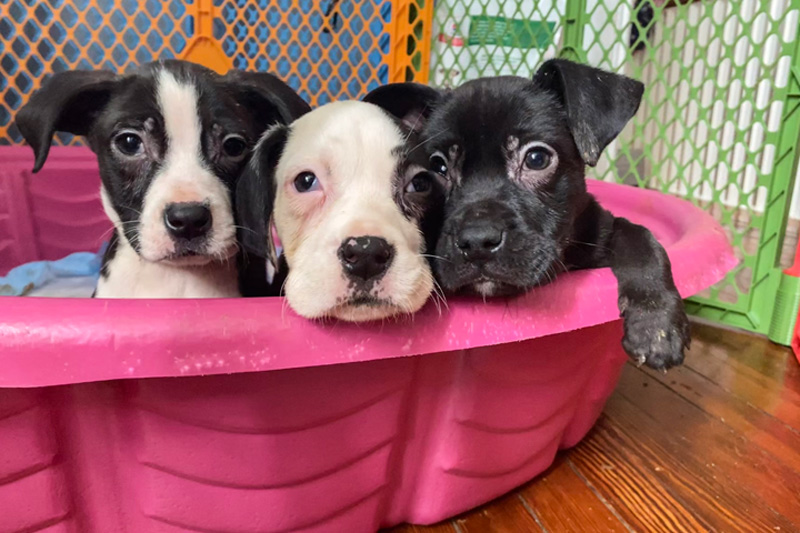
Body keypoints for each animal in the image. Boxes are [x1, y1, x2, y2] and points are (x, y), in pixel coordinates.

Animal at [368, 57, 688, 366]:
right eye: (438, 167)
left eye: (537, 158)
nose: (477, 241)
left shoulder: (602, 228)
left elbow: (640, 237)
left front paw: (654, 322)